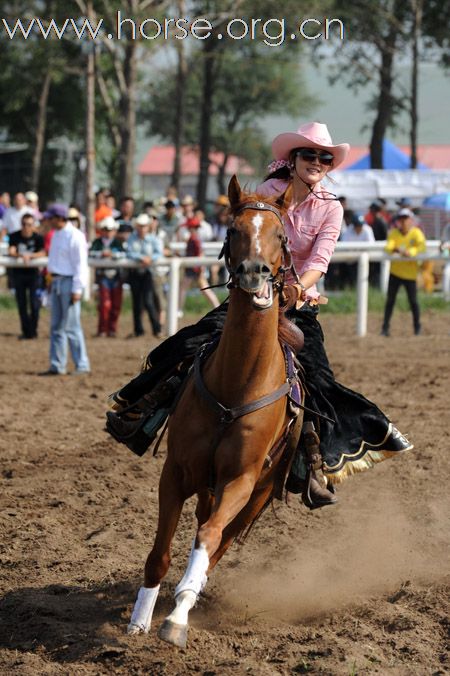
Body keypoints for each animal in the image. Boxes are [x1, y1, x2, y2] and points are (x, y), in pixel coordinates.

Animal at [127, 176, 302, 648]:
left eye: (281, 236)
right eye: (233, 230)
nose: (254, 272)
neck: (237, 384)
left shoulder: (239, 480)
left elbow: (208, 538)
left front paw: (176, 620)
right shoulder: (175, 471)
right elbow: (159, 553)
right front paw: (139, 621)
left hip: (257, 493)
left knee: (218, 540)